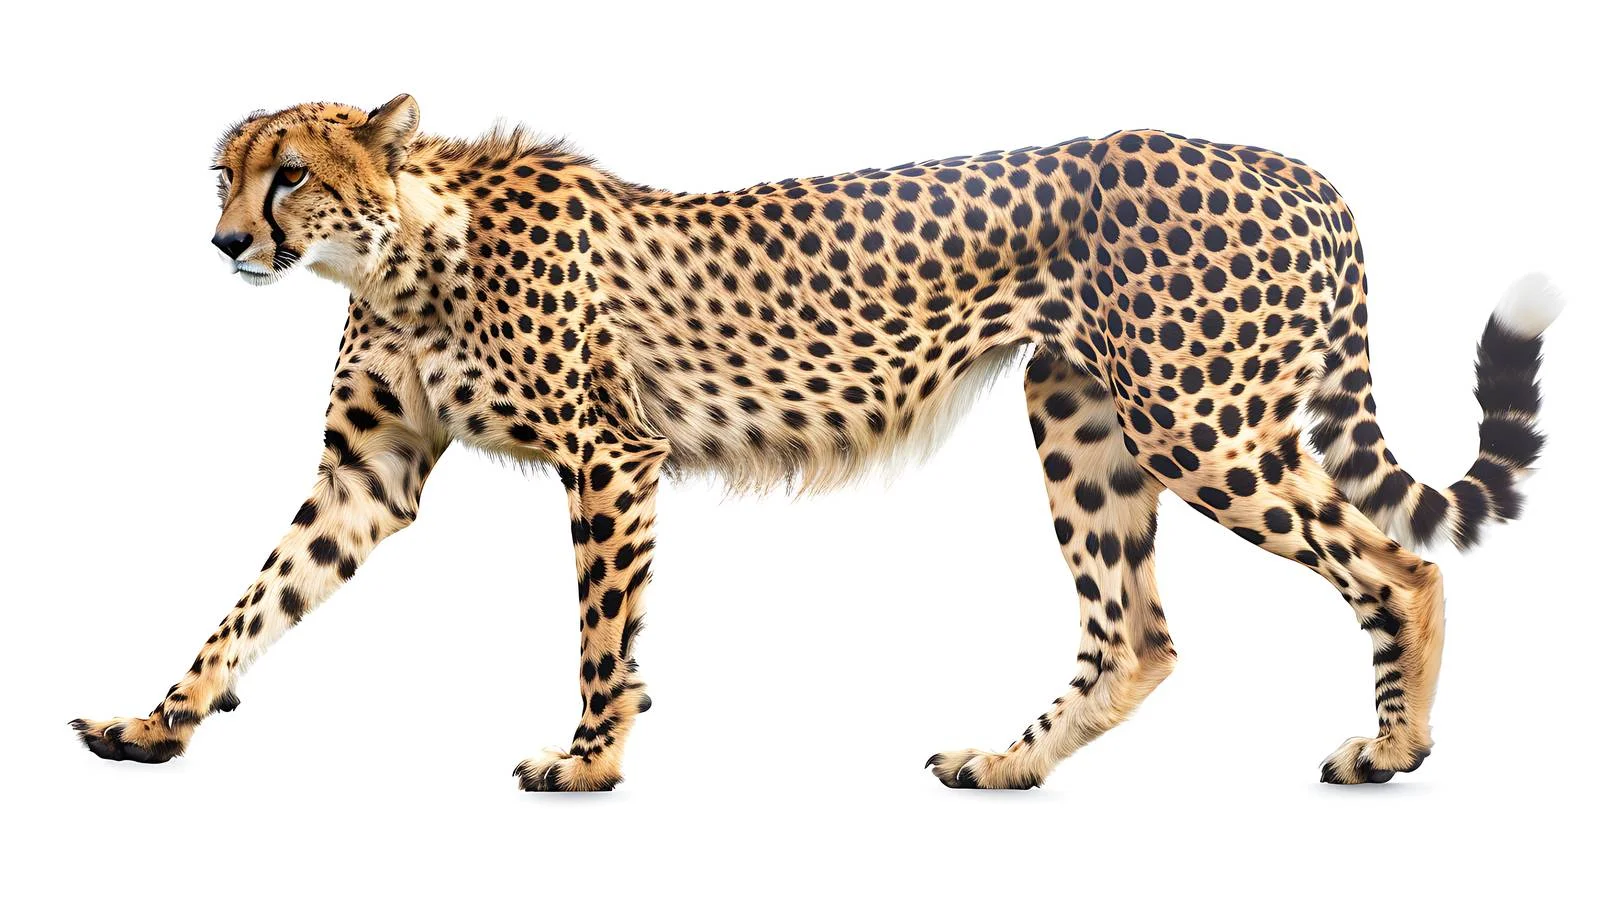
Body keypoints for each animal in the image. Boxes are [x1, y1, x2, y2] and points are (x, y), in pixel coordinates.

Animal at [72, 95, 1563, 791]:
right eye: (226, 173)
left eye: (291, 174)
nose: (225, 242)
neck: (400, 254)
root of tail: (1300, 166)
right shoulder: (366, 478)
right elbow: (249, 605)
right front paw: (158, 719)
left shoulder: (610, 457)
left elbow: (601, 634)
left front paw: (589, 760)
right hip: (1078, 415)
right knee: (1135, 632)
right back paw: (1006, 764)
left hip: (1197, 420)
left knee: (1397, 564)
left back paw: (1393, 749)